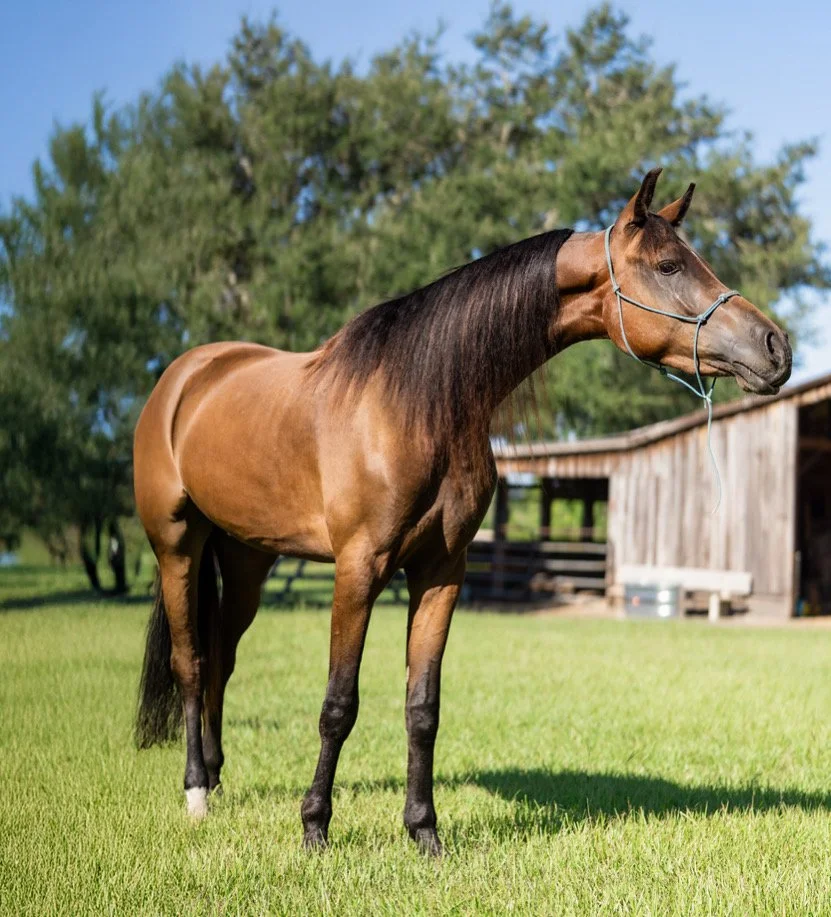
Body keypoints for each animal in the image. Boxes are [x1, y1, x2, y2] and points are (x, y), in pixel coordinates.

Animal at [133, 169, 791, 855]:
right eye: (668, 265)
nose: (776, 347)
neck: (418, 402)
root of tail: (185, 377)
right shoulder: (358, 569)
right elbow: (339, 704)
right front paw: (315, 826)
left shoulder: (441, 570)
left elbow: (423, 707)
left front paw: (424, 831)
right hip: (178, 547)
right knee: (191, 662)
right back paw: (196, 792)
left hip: (246, 560)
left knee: (221, 658)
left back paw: (216, 776)